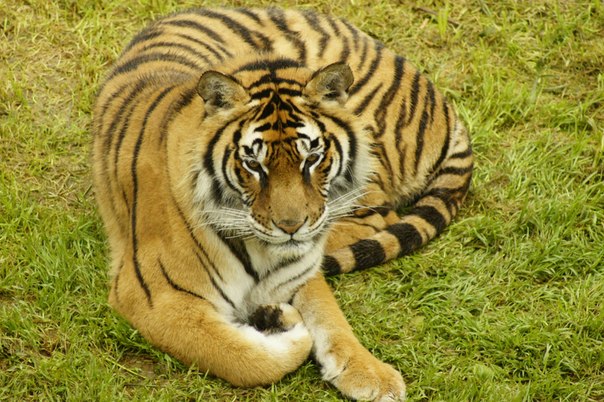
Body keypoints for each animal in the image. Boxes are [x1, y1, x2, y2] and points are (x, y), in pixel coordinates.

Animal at [92, 7, 472, 402]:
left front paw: (372, 373)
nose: (292, 227)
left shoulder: (300, 270)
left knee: (379, 214)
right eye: (253, 165)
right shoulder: (151, 296)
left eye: (312, 158)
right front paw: (281, 324)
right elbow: (244, 358)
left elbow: (331, 320)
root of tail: (444, 106)